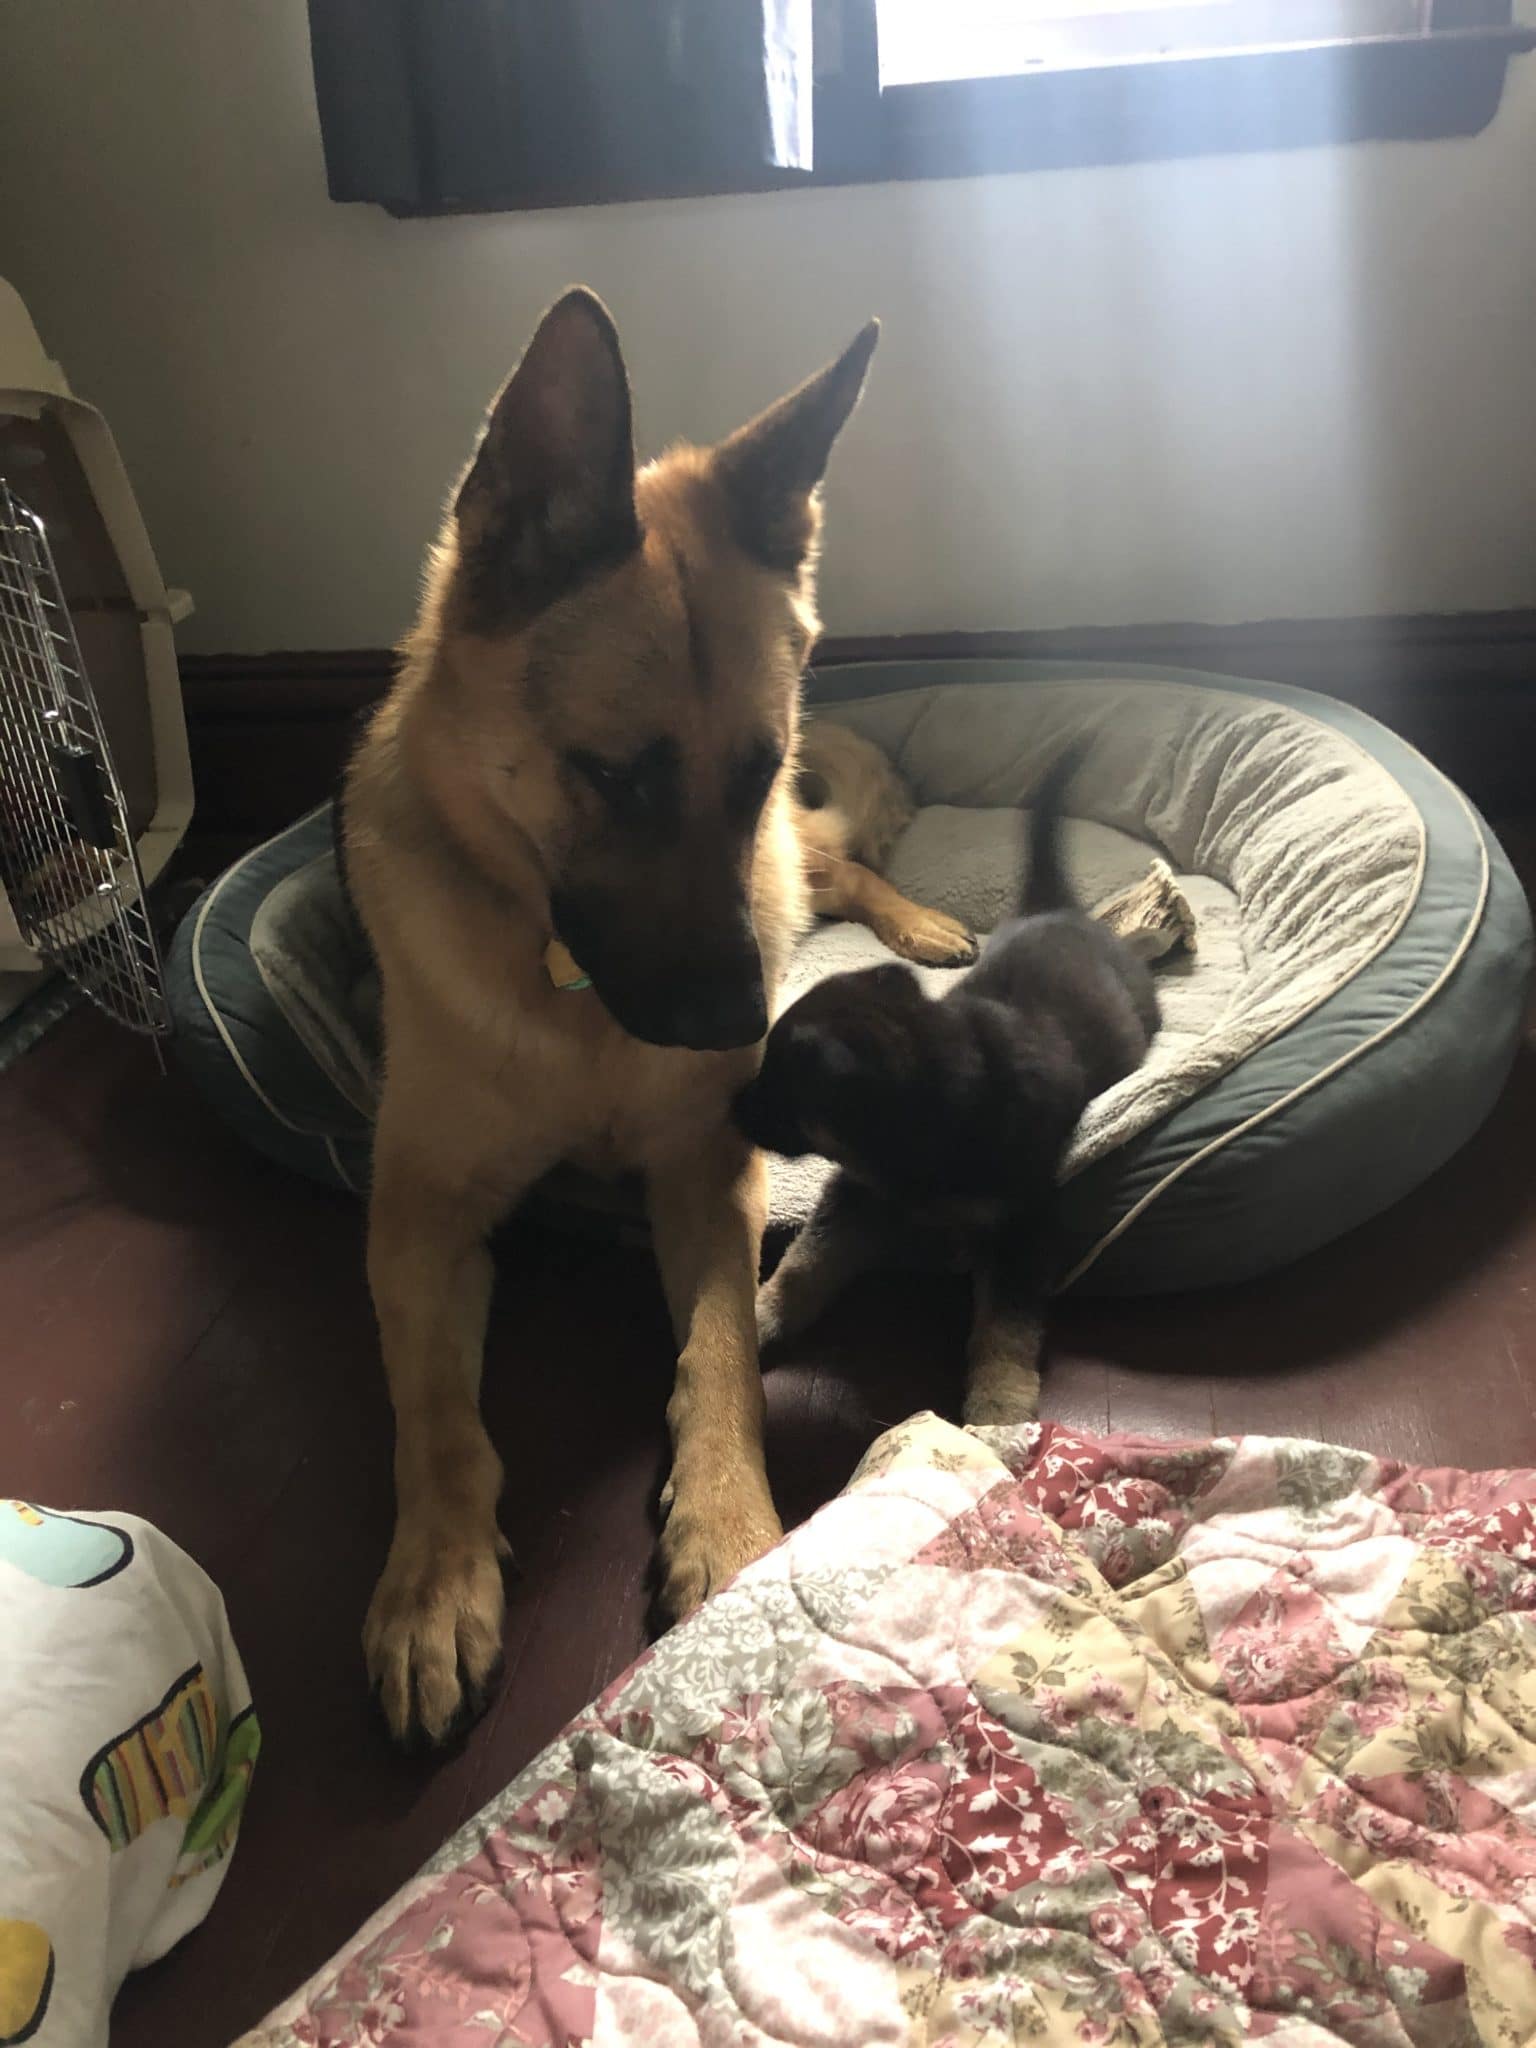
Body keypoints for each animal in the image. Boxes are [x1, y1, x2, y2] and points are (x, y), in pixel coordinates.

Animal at [348, 296, 974, 1753]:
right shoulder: (415, 1214)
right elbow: (431, 1408)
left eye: (752, 765)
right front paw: (436, 1577)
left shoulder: (706, 1173)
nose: (749, 1029)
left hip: (798, 870)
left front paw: (731, 1530)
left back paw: (920, 924)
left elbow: (723, 1346)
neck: (566, 994)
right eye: (615, 778)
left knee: (840, 864)